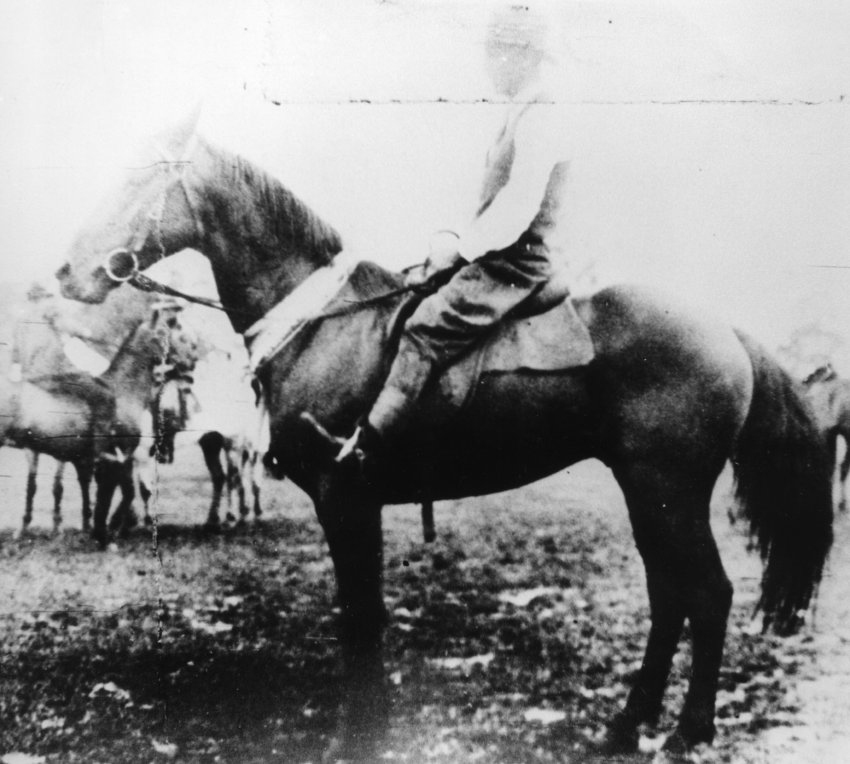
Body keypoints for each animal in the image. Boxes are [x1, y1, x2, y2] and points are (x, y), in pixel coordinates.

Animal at [55, 119, 833, 761]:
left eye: (138, 180)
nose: (66, 272)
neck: (322, 322)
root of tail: (725, 329)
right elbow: (363, 617)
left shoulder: (346, 498)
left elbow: (361, 619)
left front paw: (359, 738)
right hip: (651, 496)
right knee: (671, 596)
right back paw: (627, 723)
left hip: (667, 490)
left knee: (709, 594)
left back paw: (687, 731)